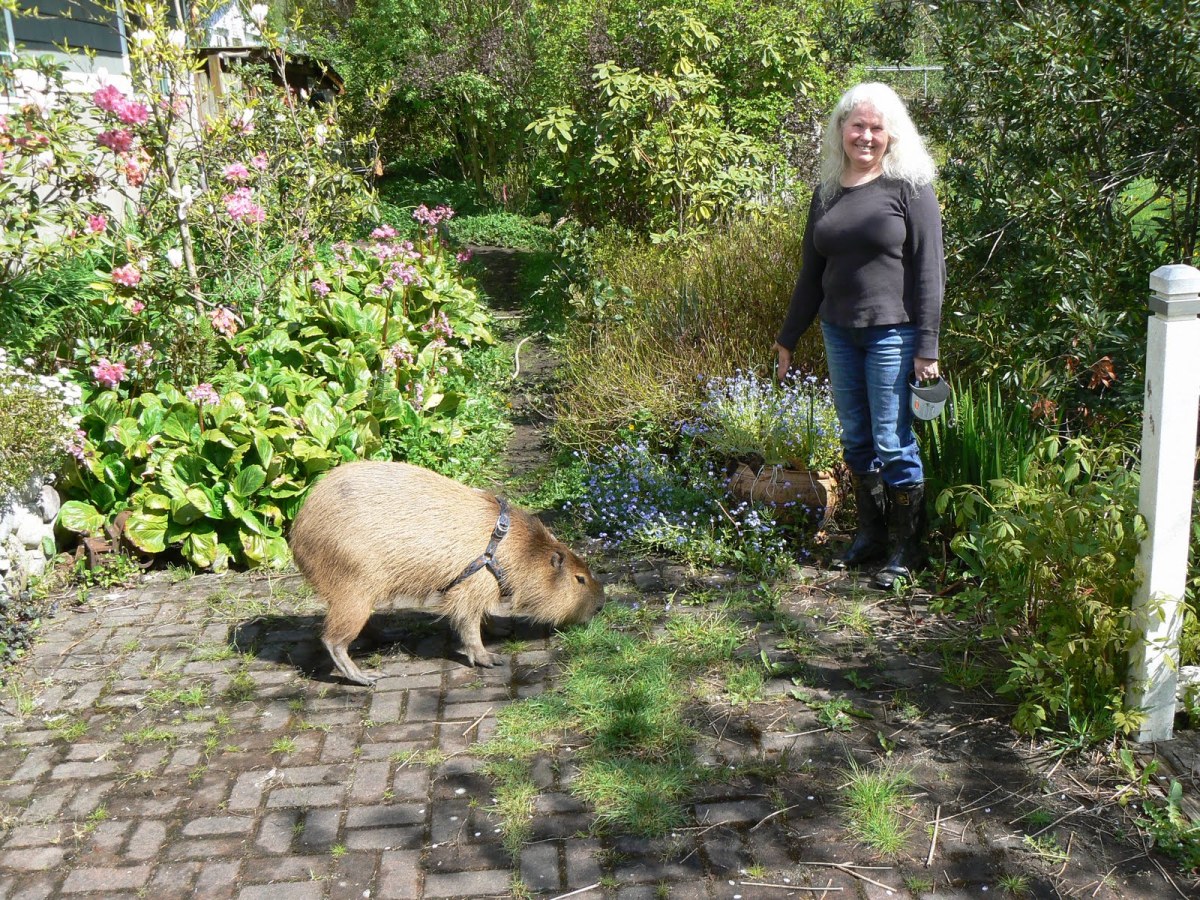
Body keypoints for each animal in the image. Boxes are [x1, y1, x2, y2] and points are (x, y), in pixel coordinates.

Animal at [288, 461, 604, 685]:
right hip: (354, 587)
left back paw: (390, 633)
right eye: (579, 579)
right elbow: (467, 622)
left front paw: (500, 628)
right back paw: (364, 677)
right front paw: (487, 657)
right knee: (333, 640)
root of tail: (296, 534)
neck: (513, 546)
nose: (601, 605)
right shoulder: (472, 586)